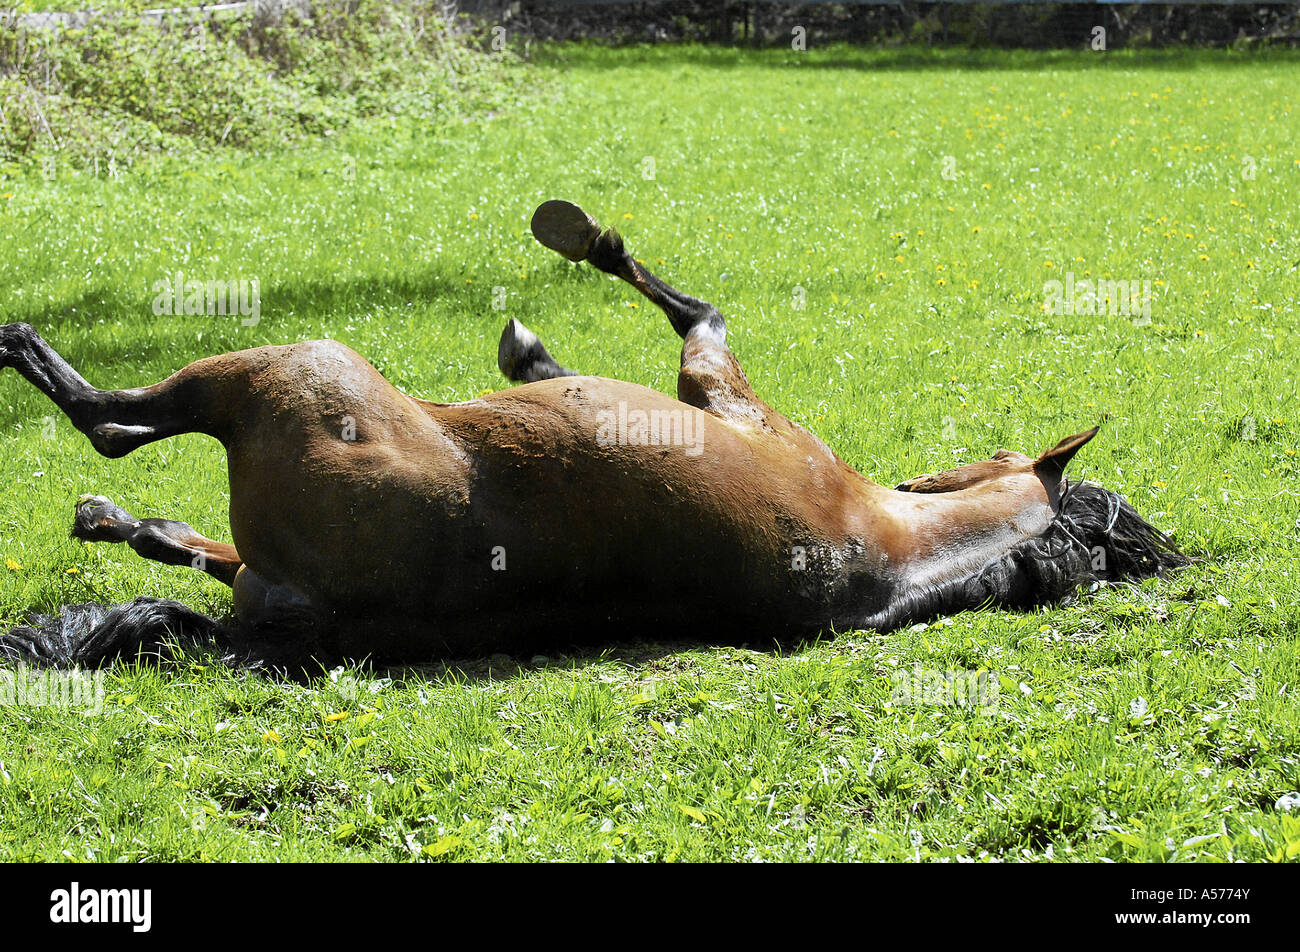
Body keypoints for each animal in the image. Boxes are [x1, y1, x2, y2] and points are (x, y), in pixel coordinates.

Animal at [0, 198, 1190, 671]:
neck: (894, 547)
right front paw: (535, 348)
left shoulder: (717, 380)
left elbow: (691, 307)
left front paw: (570, 252)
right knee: (165, 523)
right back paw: (114, 514)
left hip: (293, 369)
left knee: (111, 428)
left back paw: (27, 358)